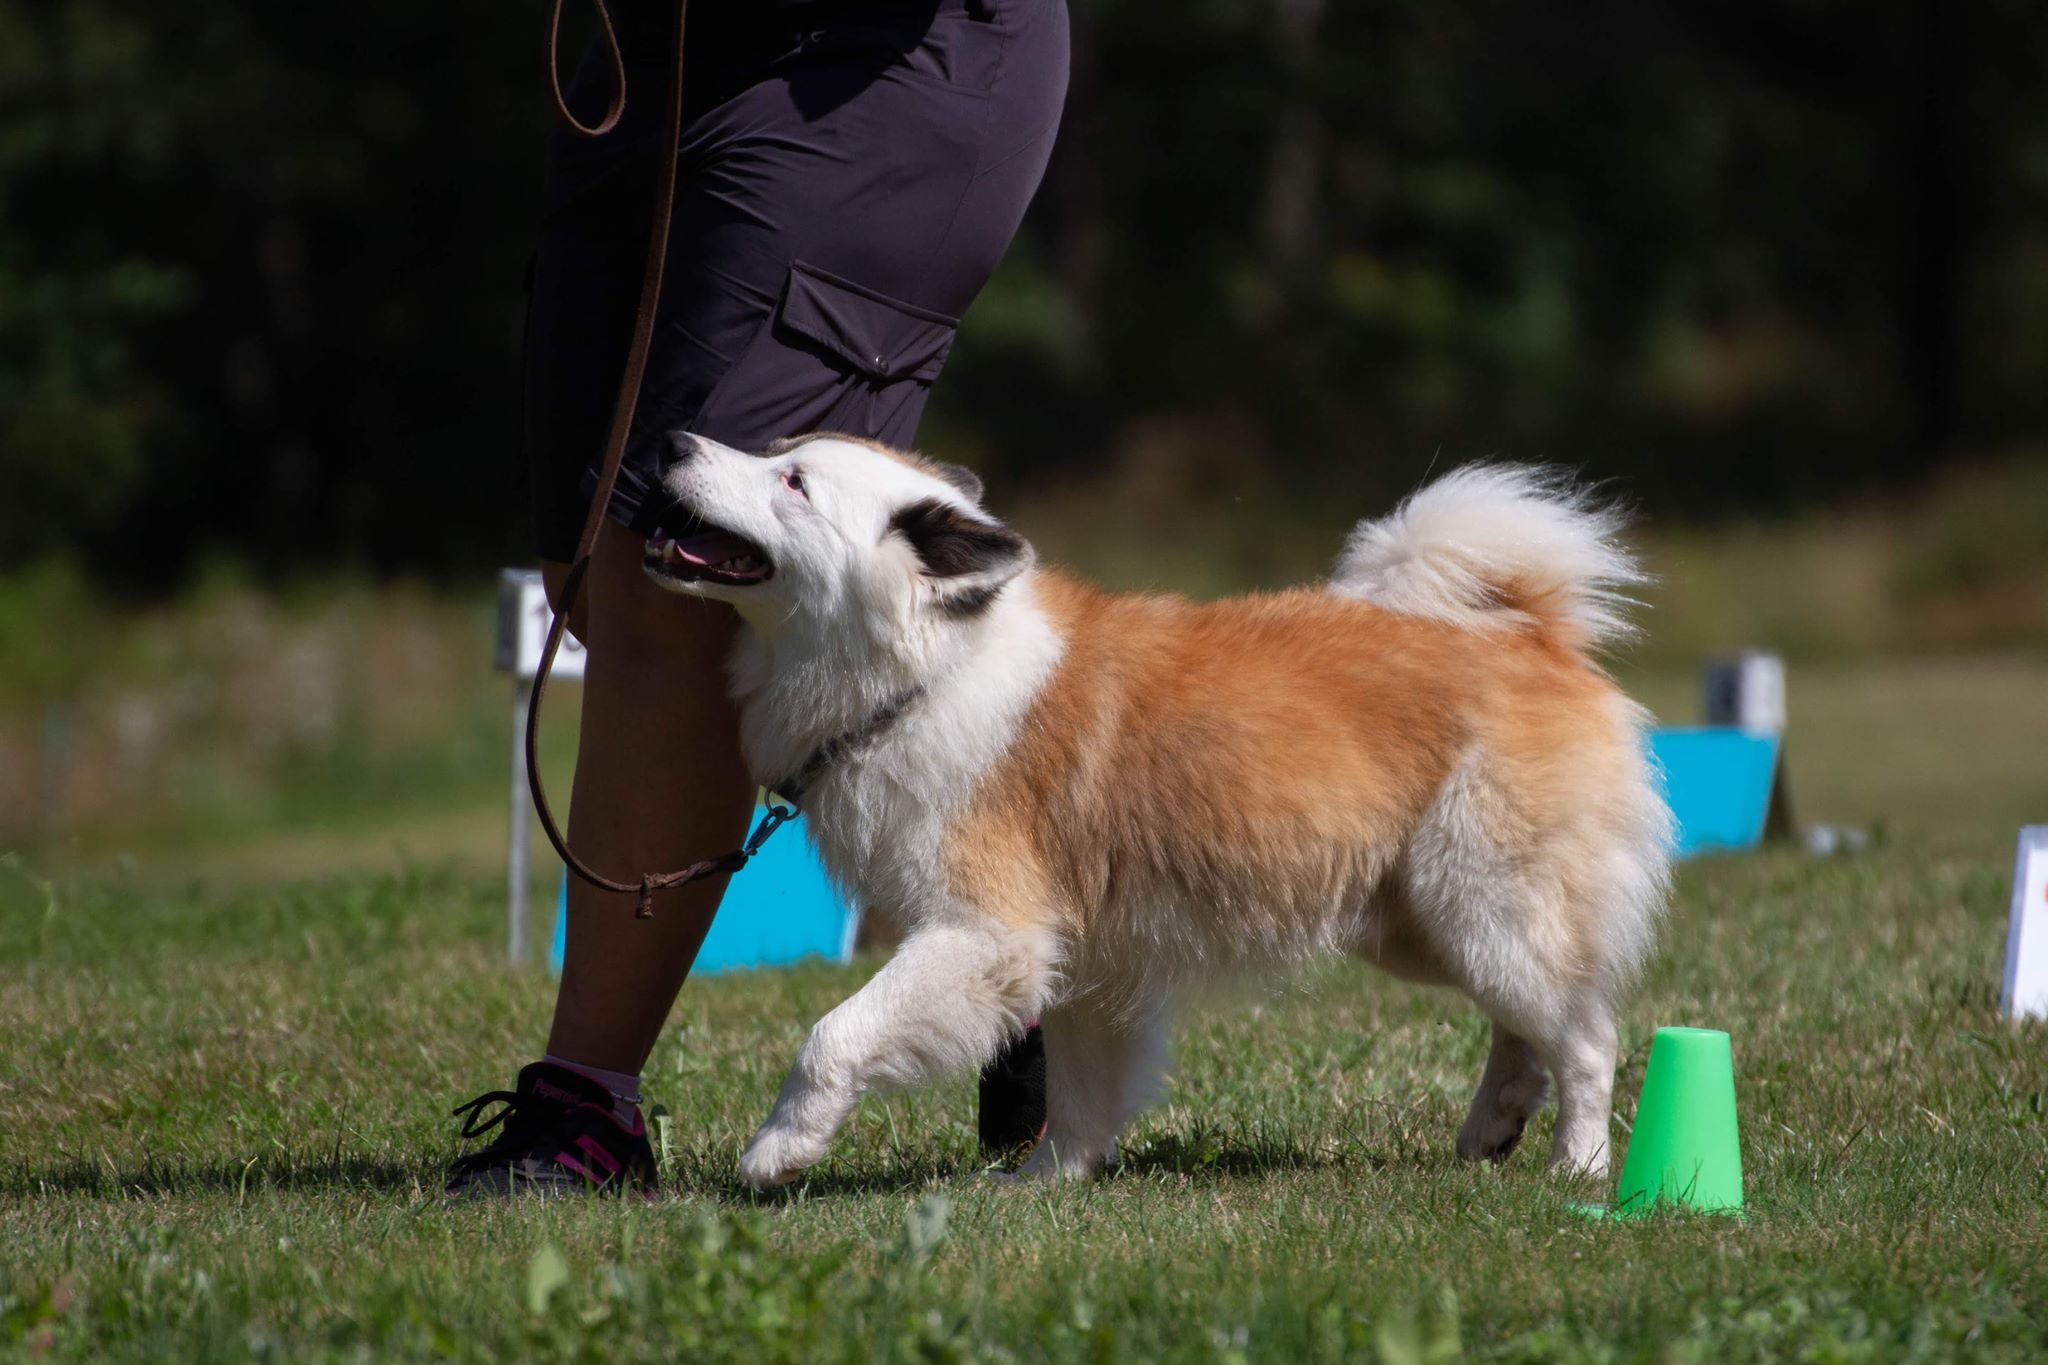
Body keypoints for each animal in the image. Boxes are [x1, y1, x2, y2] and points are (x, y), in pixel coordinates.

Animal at [647, 435, 1671, 1186]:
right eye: (778, 450)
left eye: (792, 480)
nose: (675, 439)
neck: (926, 672)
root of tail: (1529, 631)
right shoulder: (1084, 960)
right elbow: (1080, 1091)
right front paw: (1045, 1185)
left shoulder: (985, 933)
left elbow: (835, 1035)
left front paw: (778, 1150)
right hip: (1423, 924)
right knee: (1529, 1030)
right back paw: (1490, 1133)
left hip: (1483, 904)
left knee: (1586, 1036)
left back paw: (1579, 1170)